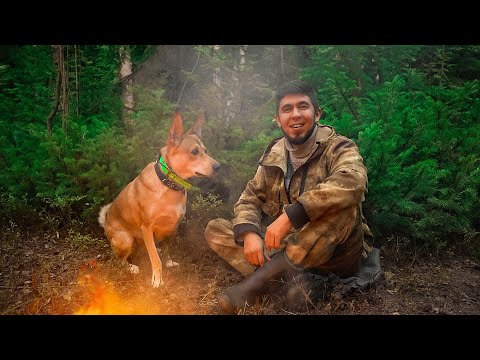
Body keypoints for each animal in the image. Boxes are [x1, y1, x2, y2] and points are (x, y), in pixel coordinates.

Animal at [98, 112, 221, 286]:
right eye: (194, 151)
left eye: (205, 150)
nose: (218, 167)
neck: (169, 185)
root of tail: (106, 223)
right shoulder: (147, 227)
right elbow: (156, 260)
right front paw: (157, 280)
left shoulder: (173, 226)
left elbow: (167, 248)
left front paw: (168, 261)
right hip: (125, 239)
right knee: (119, 260)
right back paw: (131, 267)